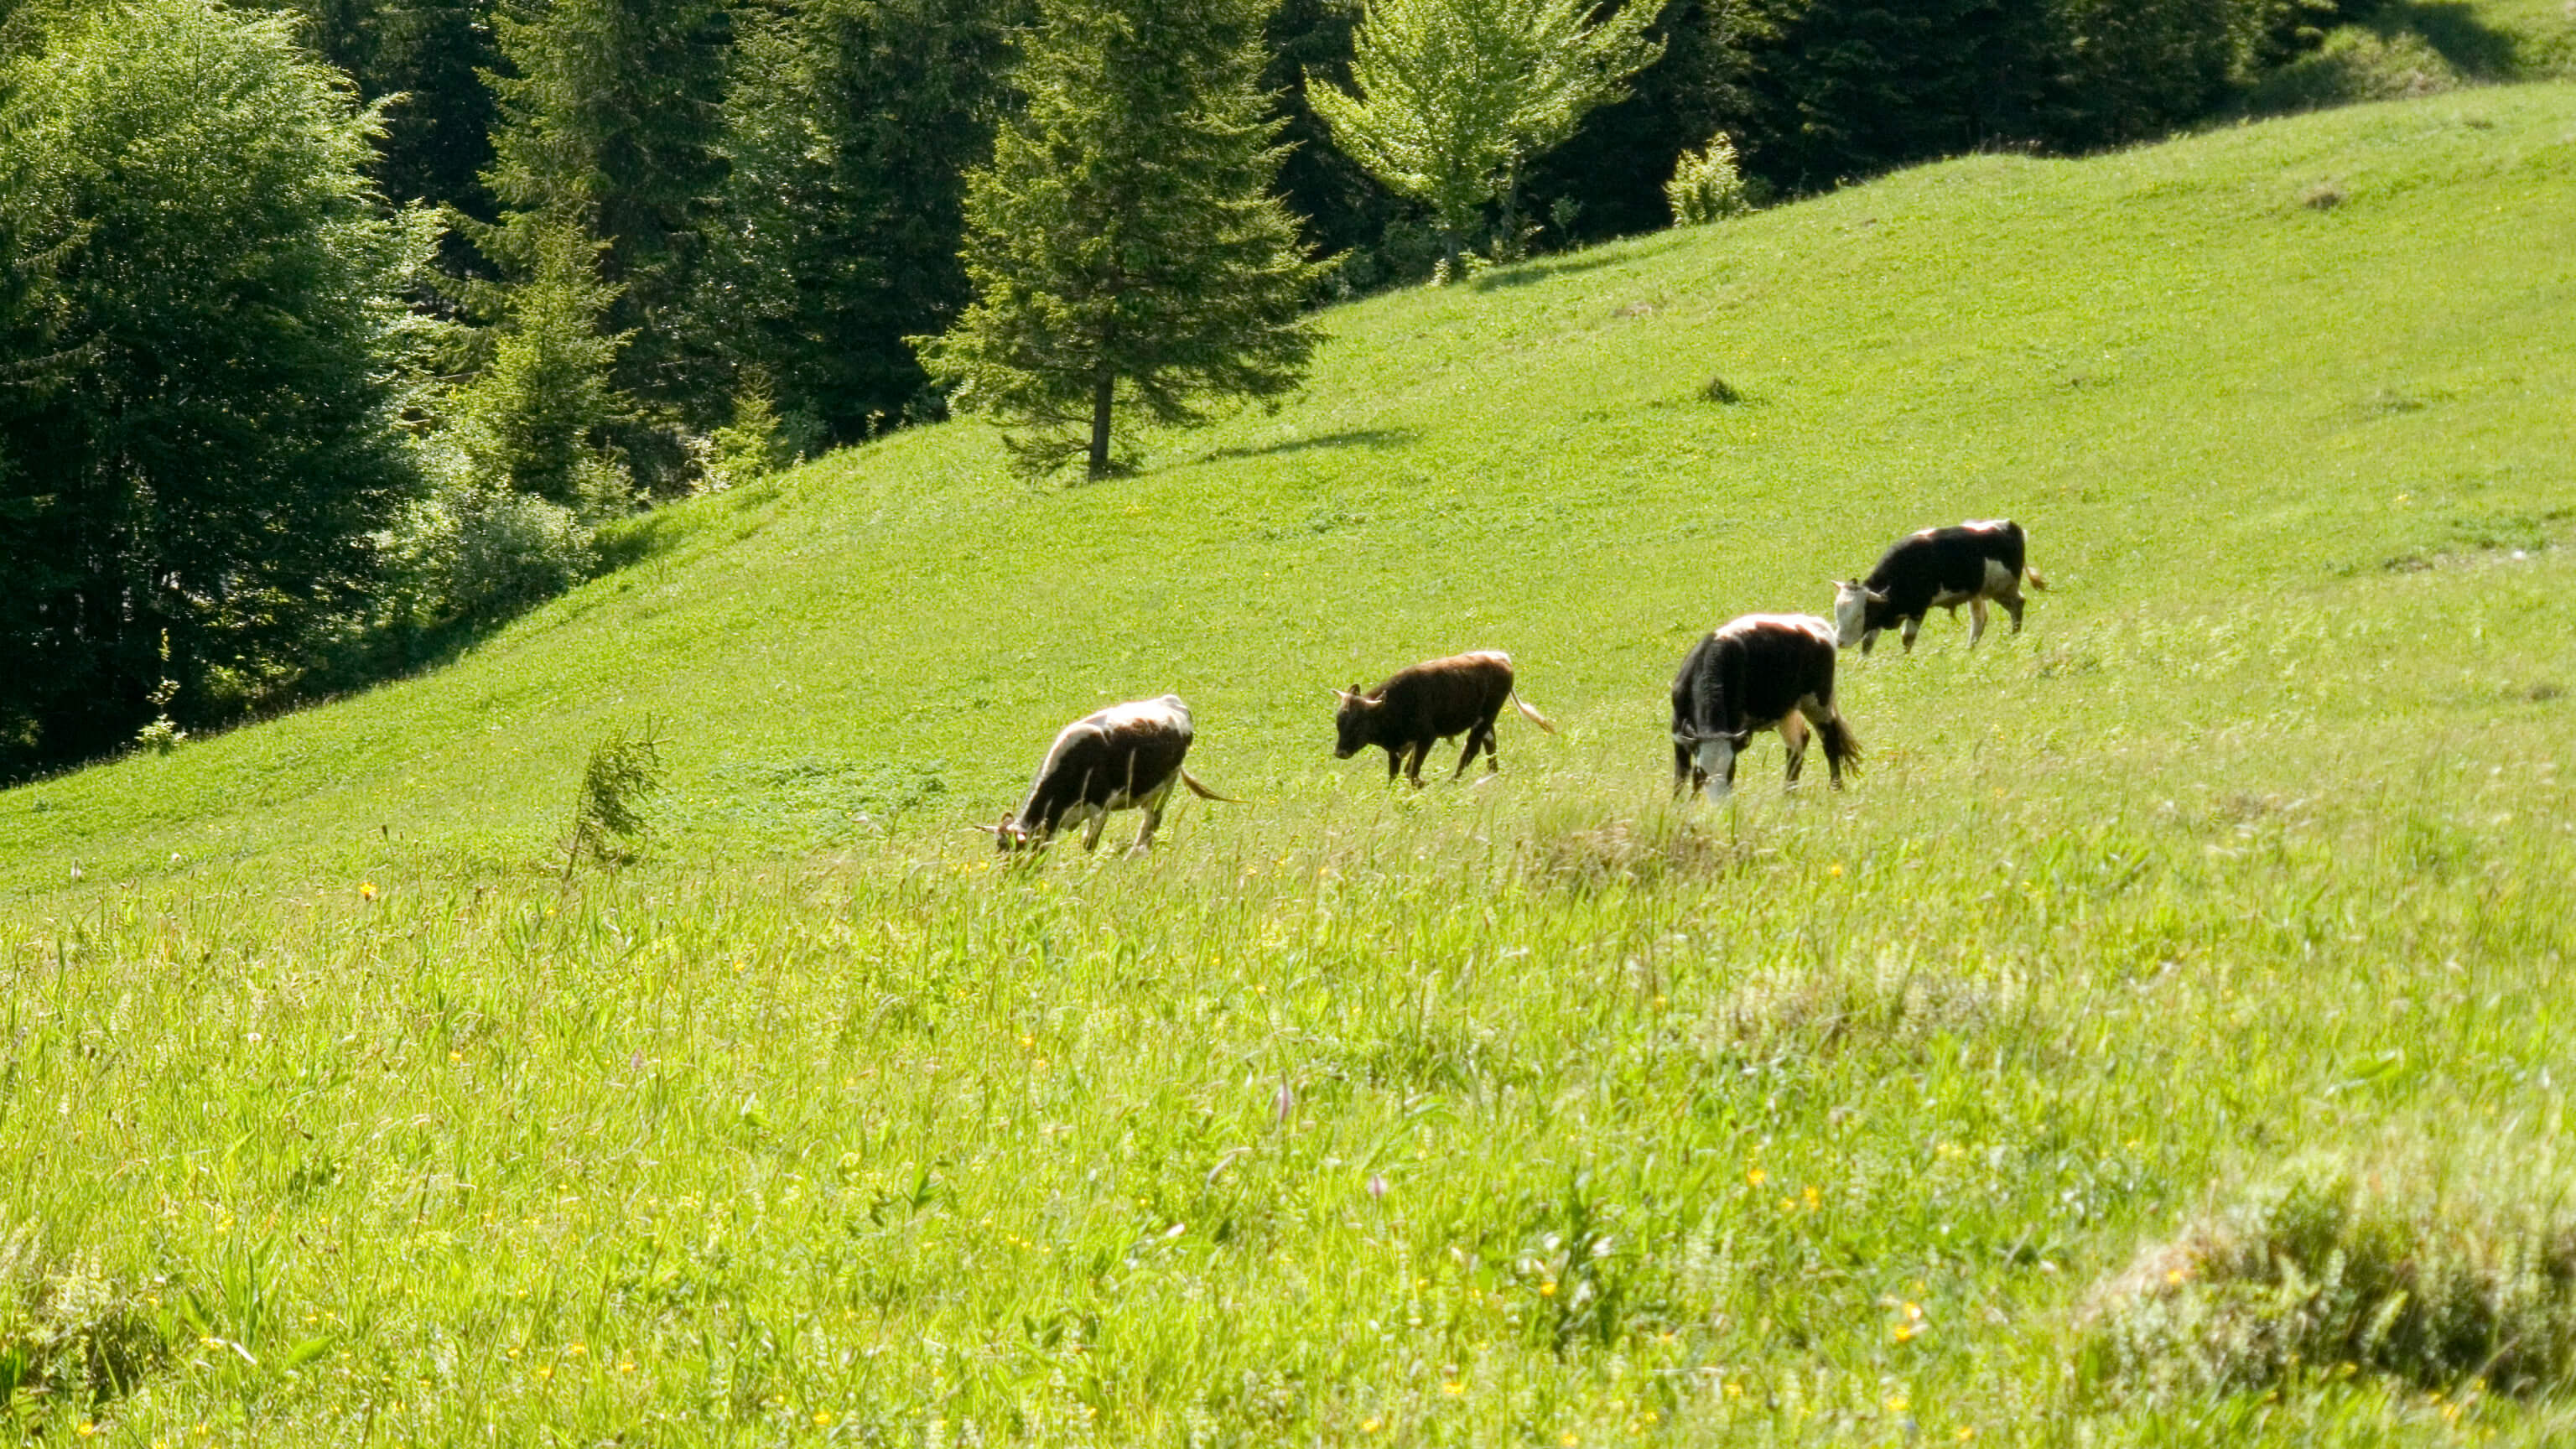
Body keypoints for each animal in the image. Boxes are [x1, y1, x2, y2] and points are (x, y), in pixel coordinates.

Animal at [984, 696, 1236, 850]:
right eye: (1000, 851)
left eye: (1018, 850)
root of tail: (1171, 701)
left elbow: (1089, 843)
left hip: (1167, 784)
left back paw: (1136, 853)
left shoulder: (1101, 808)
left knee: (1152, 821)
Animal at [1339, 644, 1555, 783]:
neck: (1392, 703)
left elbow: (1412, 771)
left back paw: (1453, 780)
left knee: (1472, 749)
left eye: (1358, 724)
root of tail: (1500, 657)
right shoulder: (1398, 748)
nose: (1339, 752)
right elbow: (1397, 773)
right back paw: (1490, 775)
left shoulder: (1426, 737)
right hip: (1485, 721)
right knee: (1489, 745)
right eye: (1339, 724)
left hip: (1486, 718)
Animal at [1669, 605, 1854, 794]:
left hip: (1818, 703)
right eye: (1701, 772)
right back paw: (1789, 793)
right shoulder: (1678, 731)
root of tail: (1815, 623)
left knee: (1829, 740)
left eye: (1731, 770)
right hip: (1786, 710)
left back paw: (1835, 787)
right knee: (1798, 743)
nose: (1718, 799)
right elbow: (1681, 776)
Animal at [1834, 515, 2050, 652]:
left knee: (2016, 607)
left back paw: (2014, 638)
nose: (1840, 642)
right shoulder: (1882, 613)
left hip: (2004, 589)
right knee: (1979, 620)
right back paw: (1970, 649)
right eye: (1838, 613)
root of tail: (2009, 525)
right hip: (1978, 594)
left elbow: (1907, 639)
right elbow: (1868, 642)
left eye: (1858, 615)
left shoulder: (1918, 609)